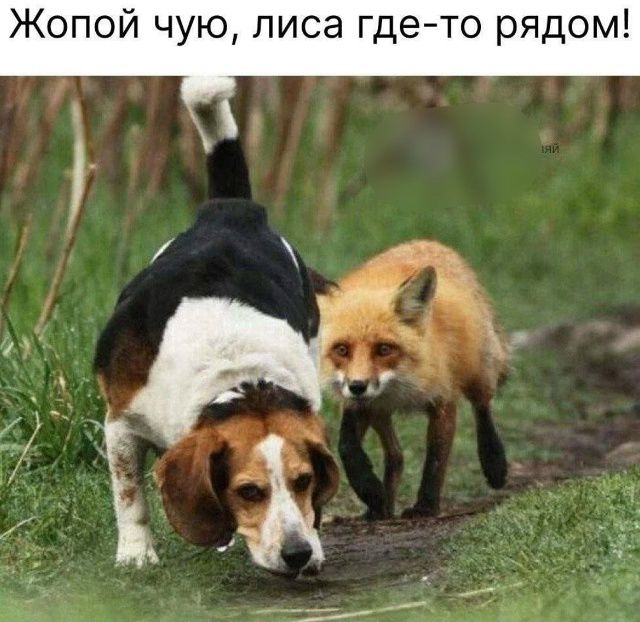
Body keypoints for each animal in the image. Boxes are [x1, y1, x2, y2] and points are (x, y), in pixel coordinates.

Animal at [316, 240, 509, 519]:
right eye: (341, 349)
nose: (357, 386)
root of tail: (429, 242)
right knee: (396, 455)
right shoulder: (360, 405)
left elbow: (436, 459)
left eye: (384, 349)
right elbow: (347, 446)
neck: (399, 386)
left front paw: (426, 506)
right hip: (379, 413)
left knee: (483, 408)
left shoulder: (442, 400)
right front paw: (370, 490)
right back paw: (381, 507)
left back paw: (494, 462)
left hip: (477, 371)